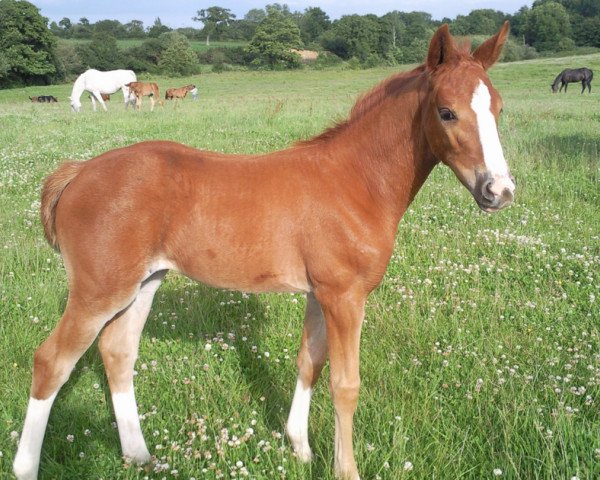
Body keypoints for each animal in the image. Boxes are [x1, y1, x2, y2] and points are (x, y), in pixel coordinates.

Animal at [14, 22, 512, 480]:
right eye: (446, 112)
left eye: (499, 109)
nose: (500, 191)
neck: (355, 181)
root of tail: (78, 172)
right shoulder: (345, 296)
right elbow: (344, 384)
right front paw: (343, 468)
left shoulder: (319, 293)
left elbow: (309, 363)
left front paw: (300, 448)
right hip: (99, 290)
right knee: (51, 362)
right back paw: (27, 466)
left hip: (143, 282)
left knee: (118, 352)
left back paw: (139, 456)